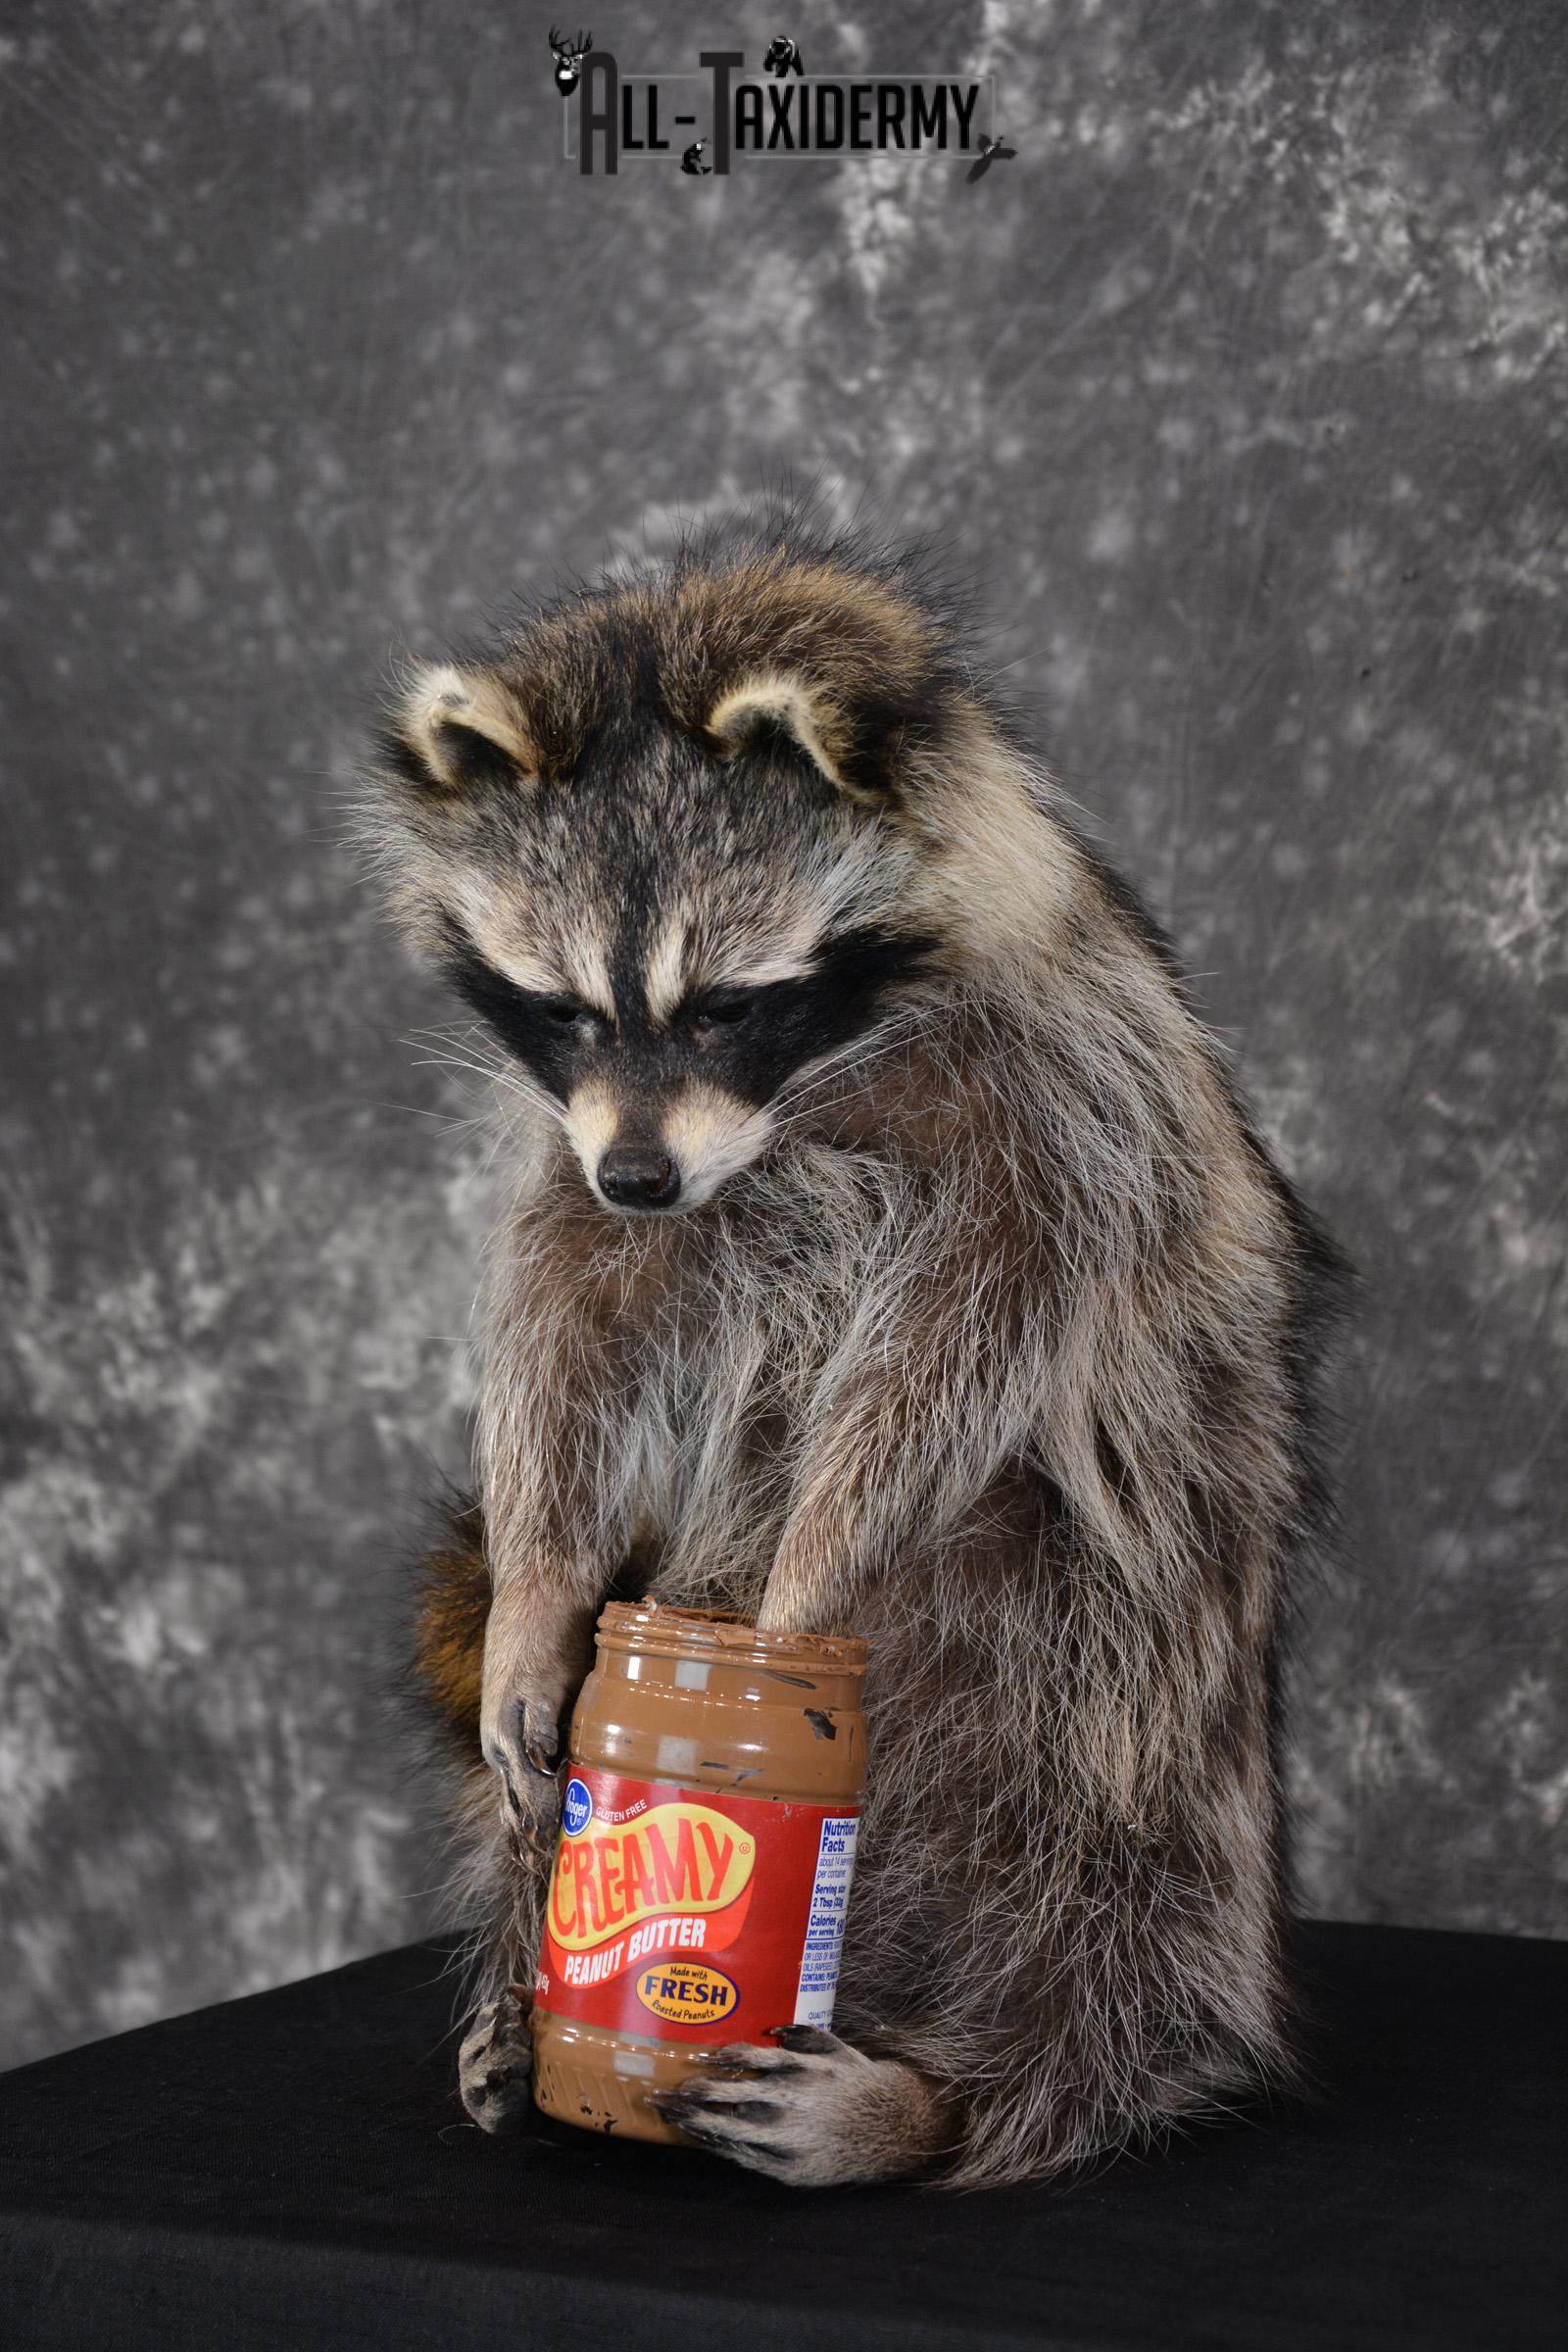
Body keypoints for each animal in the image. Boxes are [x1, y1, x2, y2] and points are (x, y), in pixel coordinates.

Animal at [361, 516, 1344, 2189]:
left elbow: (961, 1352)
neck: (805, 1092)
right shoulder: (593, 1154)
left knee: (1109, 1884)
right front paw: (540, 1599)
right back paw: (518, 1997)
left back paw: (948, 2101)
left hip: (1130, 1687)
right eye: (561, 1008)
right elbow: (572, 1327)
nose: (643, 1176)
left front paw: (807, 1591)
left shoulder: (1072, 1107)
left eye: (728, 1004)